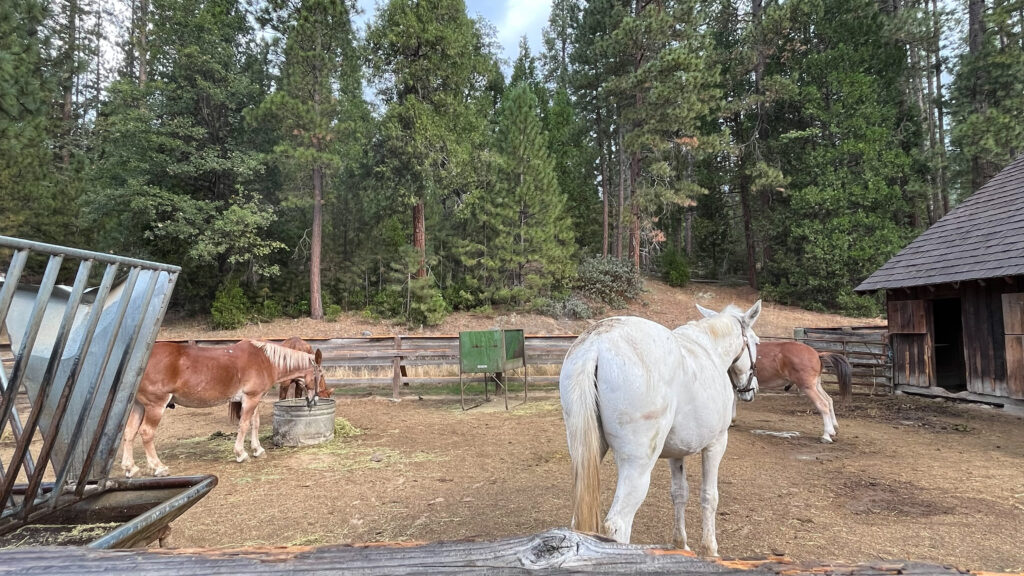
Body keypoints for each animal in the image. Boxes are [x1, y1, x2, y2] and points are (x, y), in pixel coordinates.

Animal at [122, 336, 323, 475]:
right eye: (320, 374)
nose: (315, 400)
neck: (265, 360)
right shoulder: (250, 399)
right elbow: (244, 425)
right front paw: (241, 453)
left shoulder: (255, 398)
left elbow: (255, 424)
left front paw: (257, 450)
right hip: (155, 405)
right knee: (146, 433)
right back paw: (159, 467)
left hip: (139, 405)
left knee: (129, 432)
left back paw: (130, 468)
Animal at [561, 301, 761, 557]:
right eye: (756, 342)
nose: (751, 388)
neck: (710, 351)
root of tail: (596, 344)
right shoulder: (716, 444)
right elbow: (709, 496)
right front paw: (710, 549)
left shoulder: (676, 452)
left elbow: (679, 493)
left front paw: (680, 544)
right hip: (638, 465)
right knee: (617, 525)